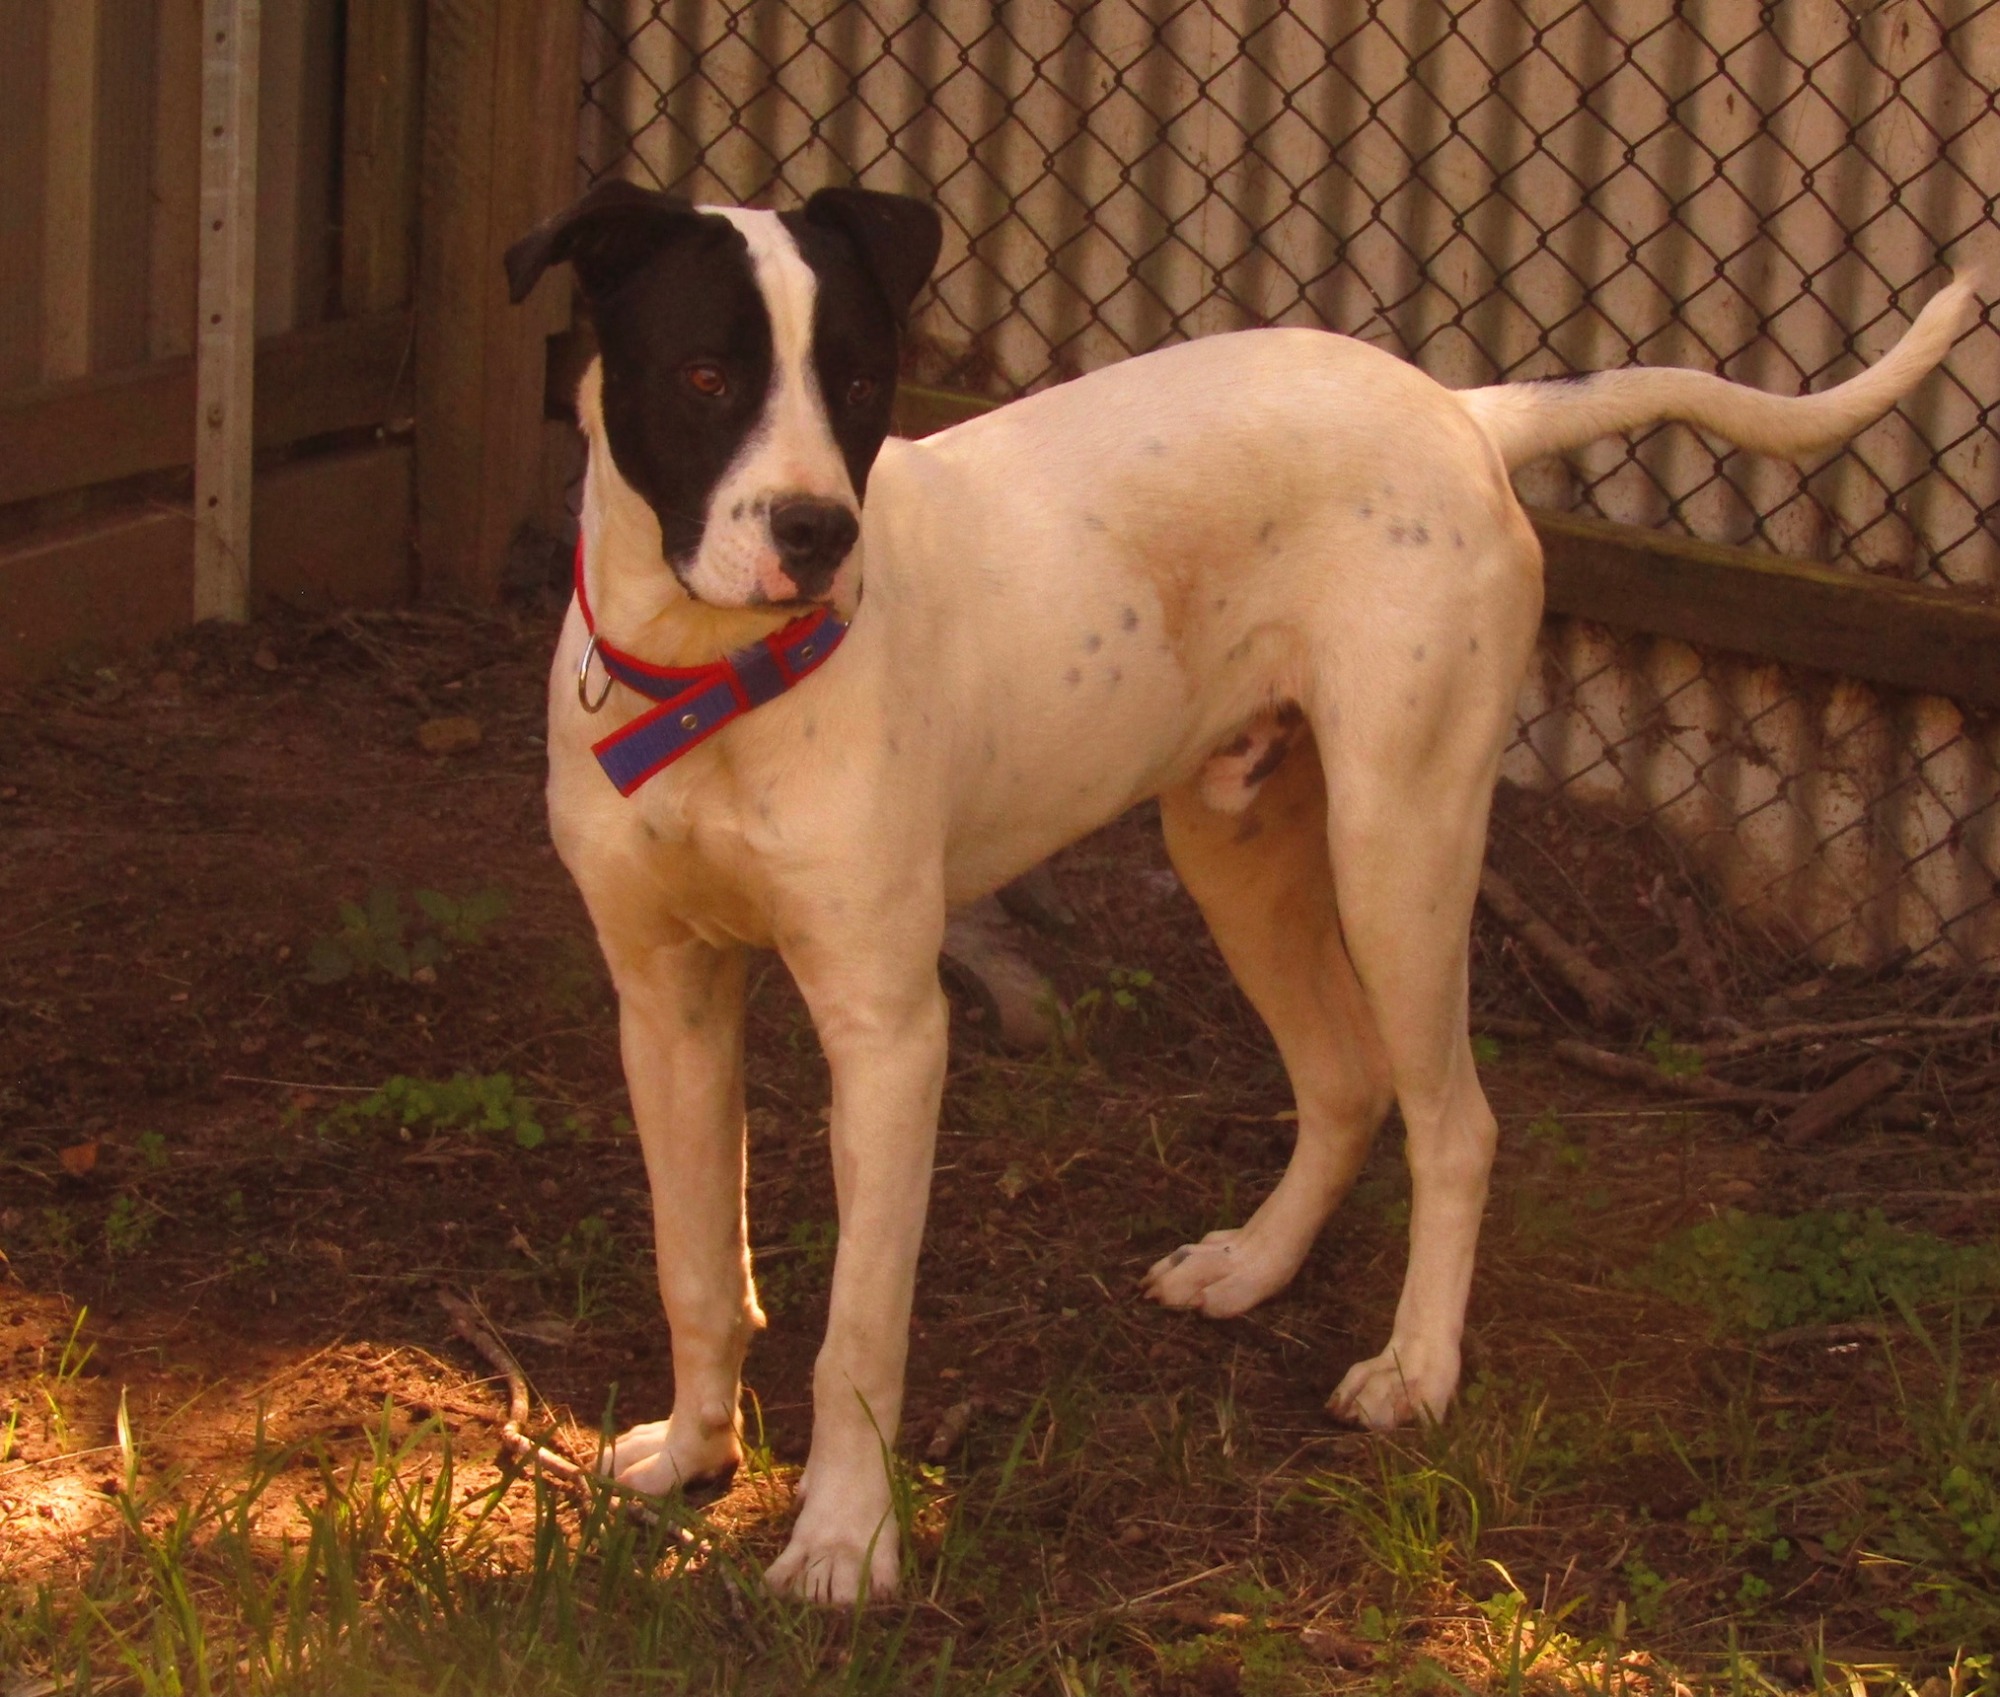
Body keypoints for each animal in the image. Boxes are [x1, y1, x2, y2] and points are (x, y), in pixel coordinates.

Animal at [504, 180, 1977, 1604]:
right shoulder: (666, 1001)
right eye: (704, 375)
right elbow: (697, 1262)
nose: (818, 531)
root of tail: (1456, 407)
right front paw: (694, 1452)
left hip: (1399, 842)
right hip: (1237, 843)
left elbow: (860, 1327)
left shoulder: (889, 1033)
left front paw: (846, 1542)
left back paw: (1415, 1368)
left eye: (864, 381)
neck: (711, 681)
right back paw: (1255, 1266)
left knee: (1454, 1120)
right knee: (1343, 1078)